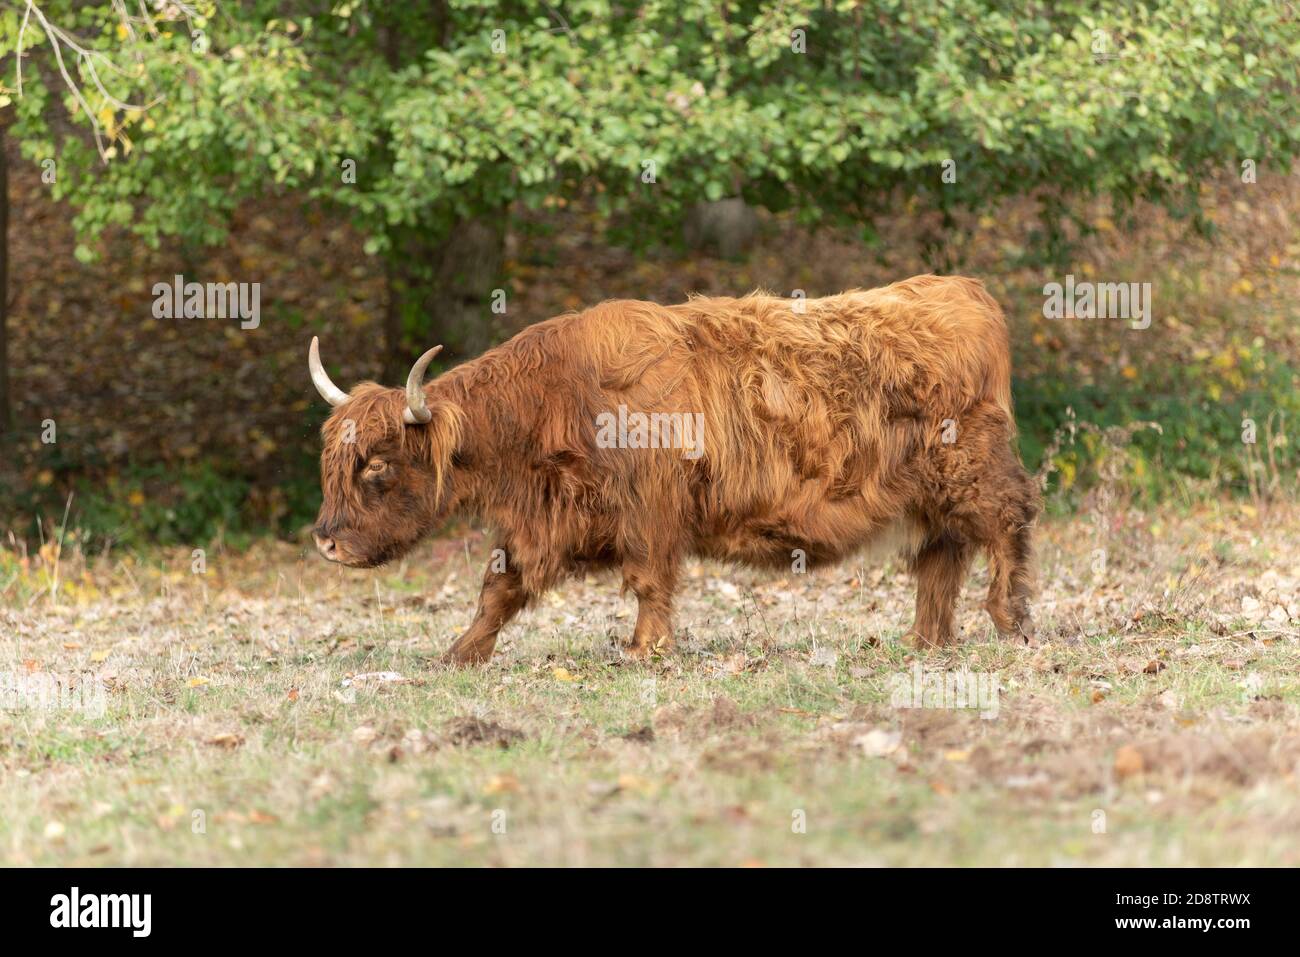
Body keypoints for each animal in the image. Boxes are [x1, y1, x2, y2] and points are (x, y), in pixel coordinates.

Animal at [308, 274, 1039, 664]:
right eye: (333, 465)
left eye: (376, 467)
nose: (326, 541)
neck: (556, 402)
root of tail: (958, 289)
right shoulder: (544, 522)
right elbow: (501, 587)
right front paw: (462, 652)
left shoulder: (650, 510)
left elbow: (648, 580)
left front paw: (645, 649)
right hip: (932, 494)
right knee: (941, 556)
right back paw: (926, 641)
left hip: (971, 470)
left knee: (1007, 524)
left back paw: (1011, 622)